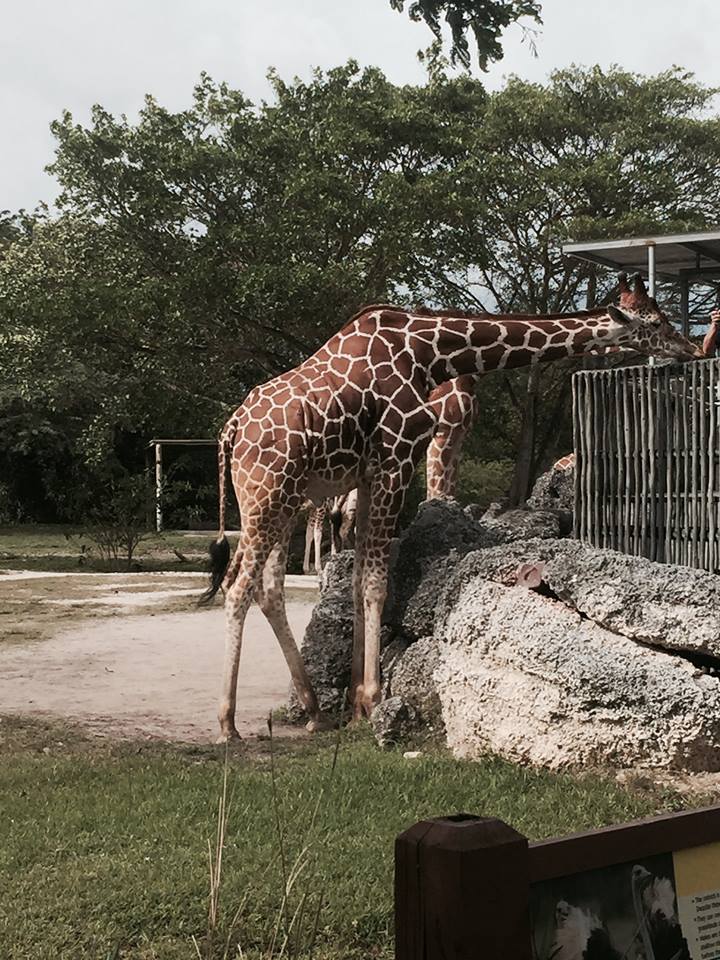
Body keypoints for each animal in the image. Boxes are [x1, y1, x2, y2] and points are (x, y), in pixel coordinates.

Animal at [202, 276, 701, 740]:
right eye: (655, 322)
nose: (691, 347)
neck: (430, 353)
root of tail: (230, 431)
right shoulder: (398, 456)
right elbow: (377, 583)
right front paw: (373, 699)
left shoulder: (368, 473)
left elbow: (360, 579)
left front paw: (356, 703)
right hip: (268, 494)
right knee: (237, 588)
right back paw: (228, 724)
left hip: (281, 500)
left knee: (266, 588)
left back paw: (313, 711)